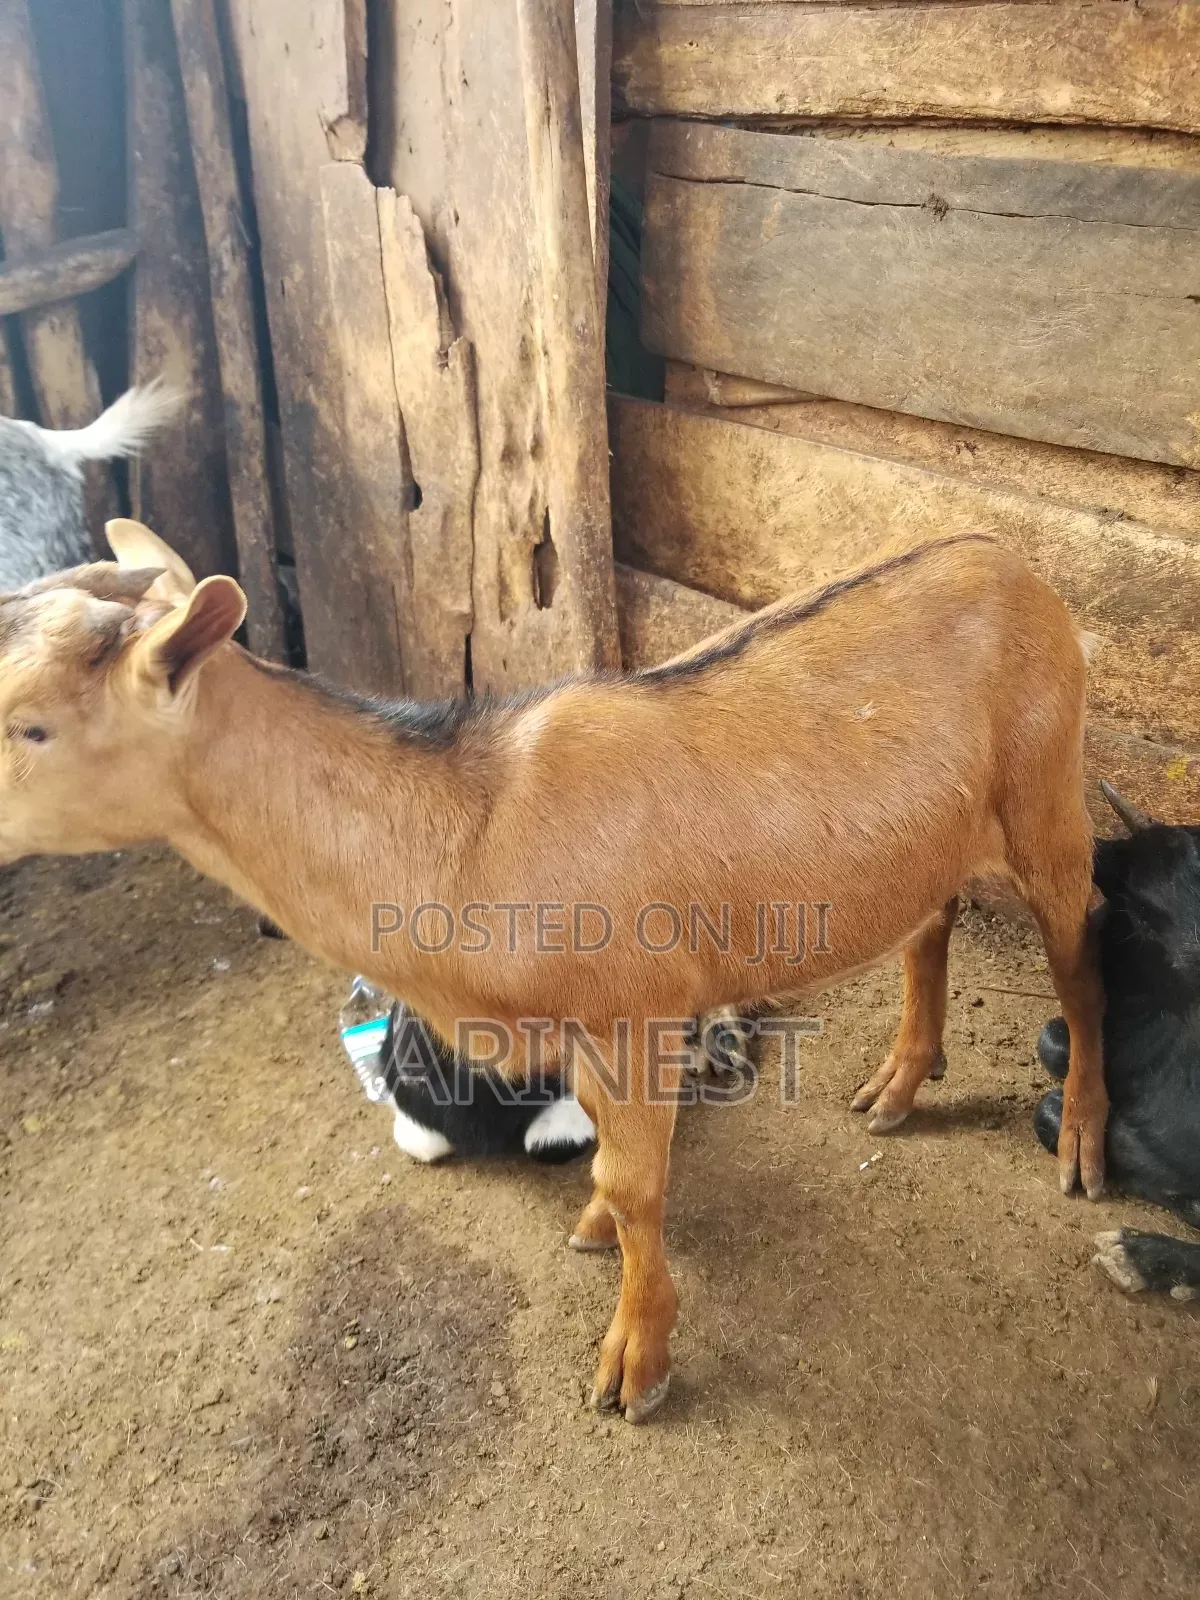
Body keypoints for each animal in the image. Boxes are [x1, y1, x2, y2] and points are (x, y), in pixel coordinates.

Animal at [0, 519, 1107, 1422]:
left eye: (30, 722)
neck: (473, 833)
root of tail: (1008, 555)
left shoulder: (636, 1012)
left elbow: (635, 1180)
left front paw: (635, 1364)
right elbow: (611, 1167)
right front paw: (592, 1232)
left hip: (1047, 785)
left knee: (1079, 947)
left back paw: (1082, 1143)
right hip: (935, 835)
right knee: (931, 920)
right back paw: (899, 1082)